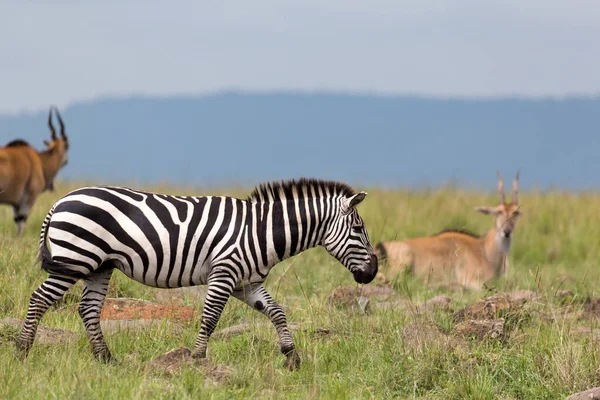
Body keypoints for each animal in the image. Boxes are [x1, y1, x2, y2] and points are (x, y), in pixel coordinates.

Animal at [0, 108, 69, 236]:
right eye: (67, 146)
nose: (66, 161)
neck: (39, 160)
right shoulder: (29, 197)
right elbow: (21, 222)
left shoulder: (16, 204)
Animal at [17, 178, 376, 368]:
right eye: (359, 230)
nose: (373, 273)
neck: (260, 231)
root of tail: (60, 201)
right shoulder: (225, 272)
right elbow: (211, 318)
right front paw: (198, 359)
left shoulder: (246, 283)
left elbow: (277, 312)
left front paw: (292, 357)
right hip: (74, 259)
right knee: (39, 299)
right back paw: (22, 350)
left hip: (99, 266)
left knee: (88, 309)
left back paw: (106, 359)